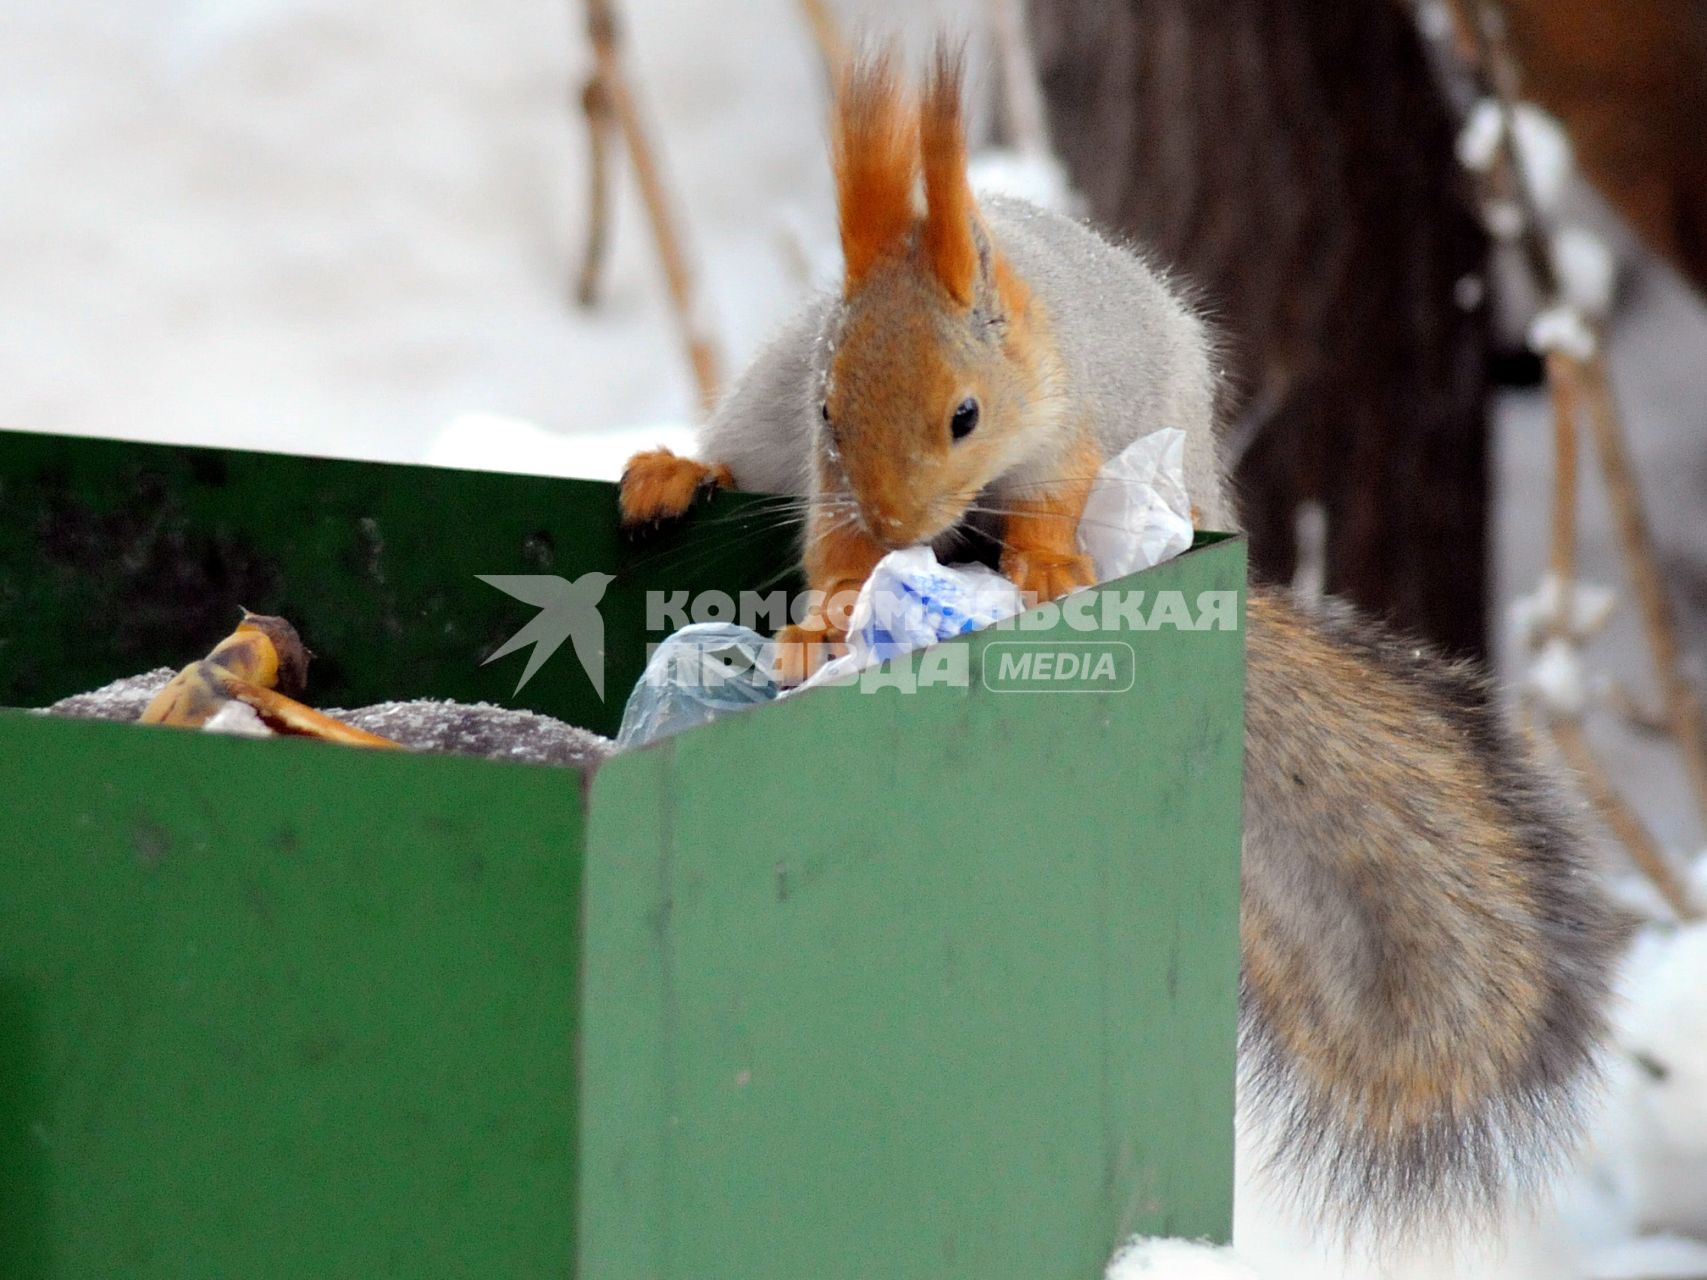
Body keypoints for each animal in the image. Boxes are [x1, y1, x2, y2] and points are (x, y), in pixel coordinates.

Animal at [611, 45, 1611, 1235]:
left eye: (963, 415)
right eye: (830, 409)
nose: (902, 526)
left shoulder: (1067, 432)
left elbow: (1051, 510)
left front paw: (1044, 574)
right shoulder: (820, 468)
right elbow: (831, 547)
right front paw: (827, 620)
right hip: (757, 403)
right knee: (734, 455)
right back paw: (675, 470)